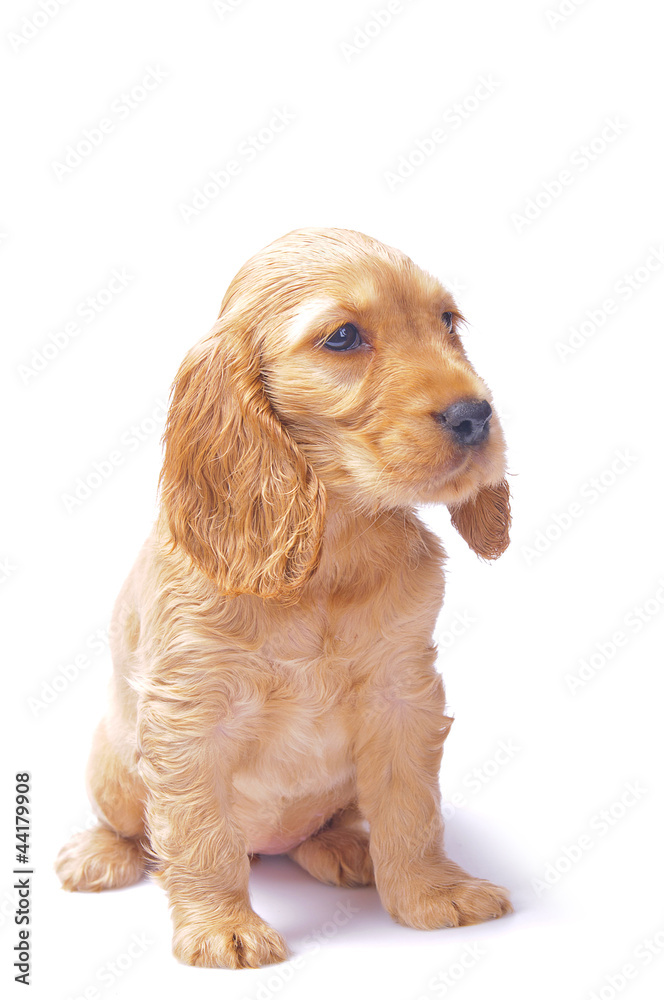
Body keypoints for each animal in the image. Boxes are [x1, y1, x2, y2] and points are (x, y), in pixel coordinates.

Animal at [57, 229, 512, 968]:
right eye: (343, 337)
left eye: (448, 322)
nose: (476, 416)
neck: (332, 550)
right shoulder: (187, 717)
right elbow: (201, 838)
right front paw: (223, 927)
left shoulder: (404, 696)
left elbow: (412, 809)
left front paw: (431, 893)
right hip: (112, 764)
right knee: (132, 826)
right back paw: (100, 853)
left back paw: (343, 847)